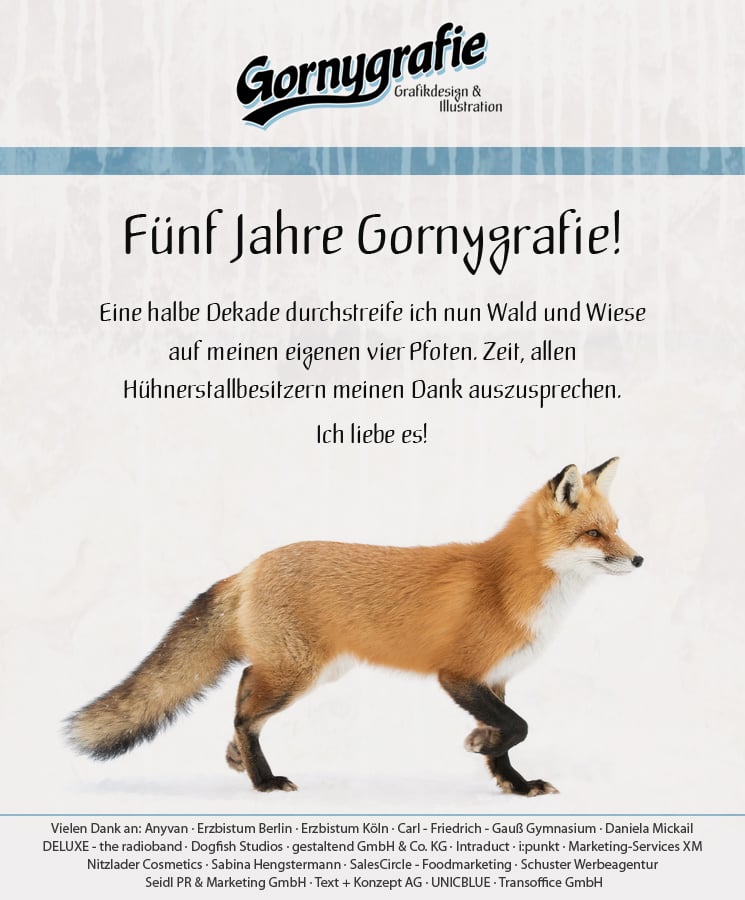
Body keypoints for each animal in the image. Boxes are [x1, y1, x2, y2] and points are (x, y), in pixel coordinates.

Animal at [67, 457, 642, 796]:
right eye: (594, 534)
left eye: (617, 529)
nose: (639, 560)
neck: (508, 584)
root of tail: (250, 566)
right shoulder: (458, 674)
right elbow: (517, 727)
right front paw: (480, 743)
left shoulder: (496, 678)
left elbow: (509, 737)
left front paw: (514, 784)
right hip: (297, 673)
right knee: (246, 709)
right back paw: (262, 779)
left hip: (313, 670)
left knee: (243, 691)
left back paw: (239, 761)